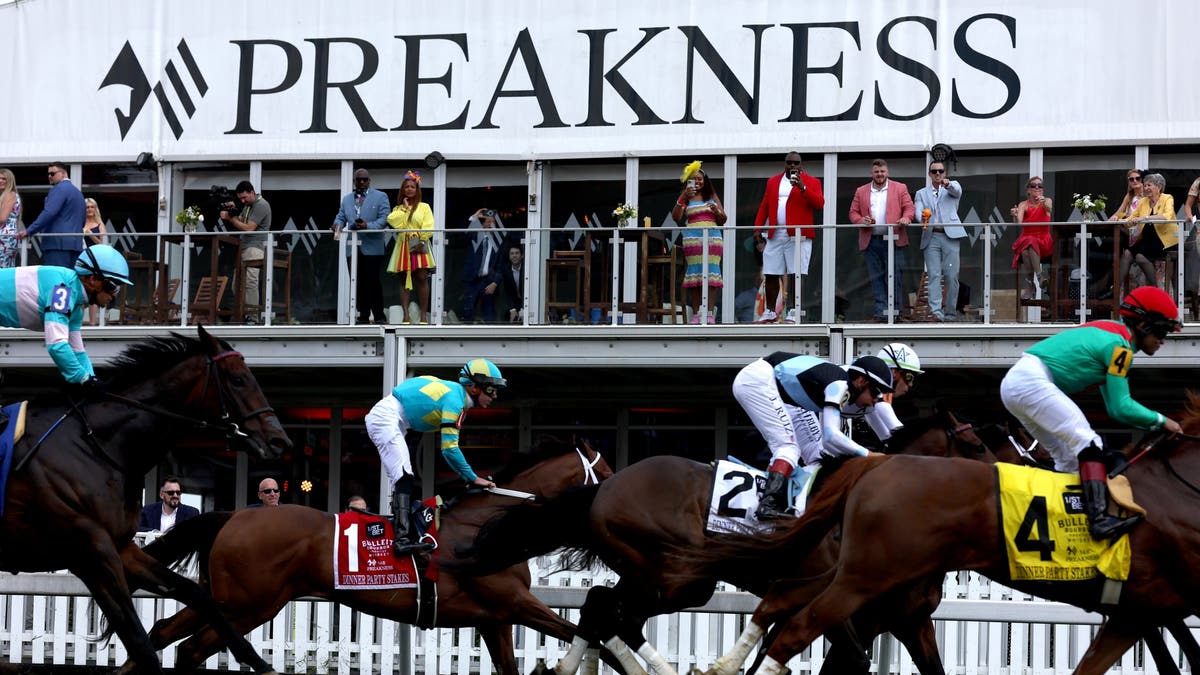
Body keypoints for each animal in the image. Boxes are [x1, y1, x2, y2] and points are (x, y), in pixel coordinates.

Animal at [0, 324, 290, 667]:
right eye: (238, 379)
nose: (279, 441)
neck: (95, 445)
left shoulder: (121, 547)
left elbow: (197, 595)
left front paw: (257, 661)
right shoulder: (91, 552)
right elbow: (139, 641)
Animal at [136, 439, 614, 672]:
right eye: (609, 472)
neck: (487, 527)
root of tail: (233, 516)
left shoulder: (493, 620)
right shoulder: (514, 604)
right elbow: (593, 639)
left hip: (222, 598)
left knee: (165, 634)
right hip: (250, 604)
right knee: (192, 648)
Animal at [451, 410, 993, 672]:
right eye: (978, 444)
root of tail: (604, 487)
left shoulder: (906, 621)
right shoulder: (842, 605)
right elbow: (848, 658)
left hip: (655, 576)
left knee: (602, 606)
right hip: (678, 577)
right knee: (614, 613)